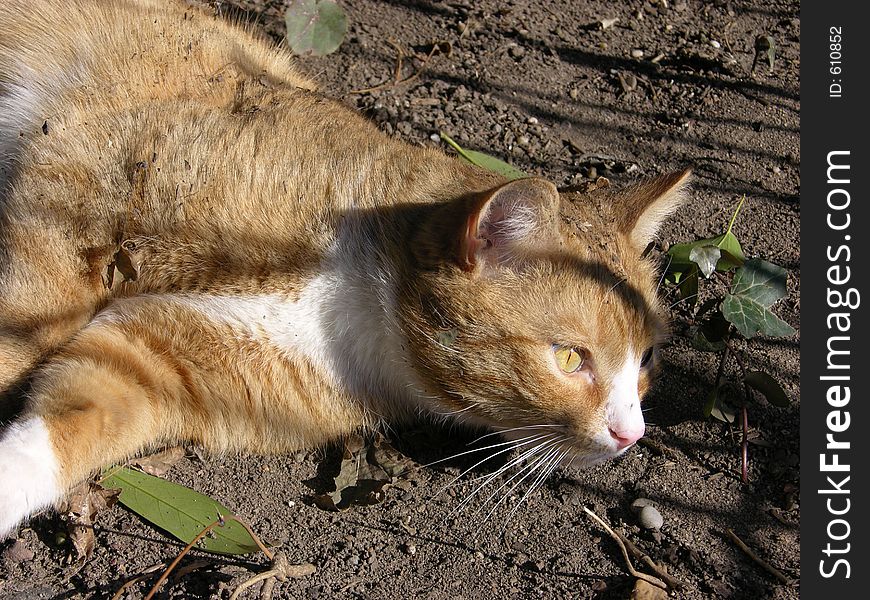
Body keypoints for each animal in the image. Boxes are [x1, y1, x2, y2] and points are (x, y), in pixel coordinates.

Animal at [1, 0, 696, 536]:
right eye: (570, 357)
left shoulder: (150, 365)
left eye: (647, 359)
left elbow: (62, 429)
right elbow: (17, 335)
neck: (347, 298)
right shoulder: (65, 203)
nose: (631, 434)